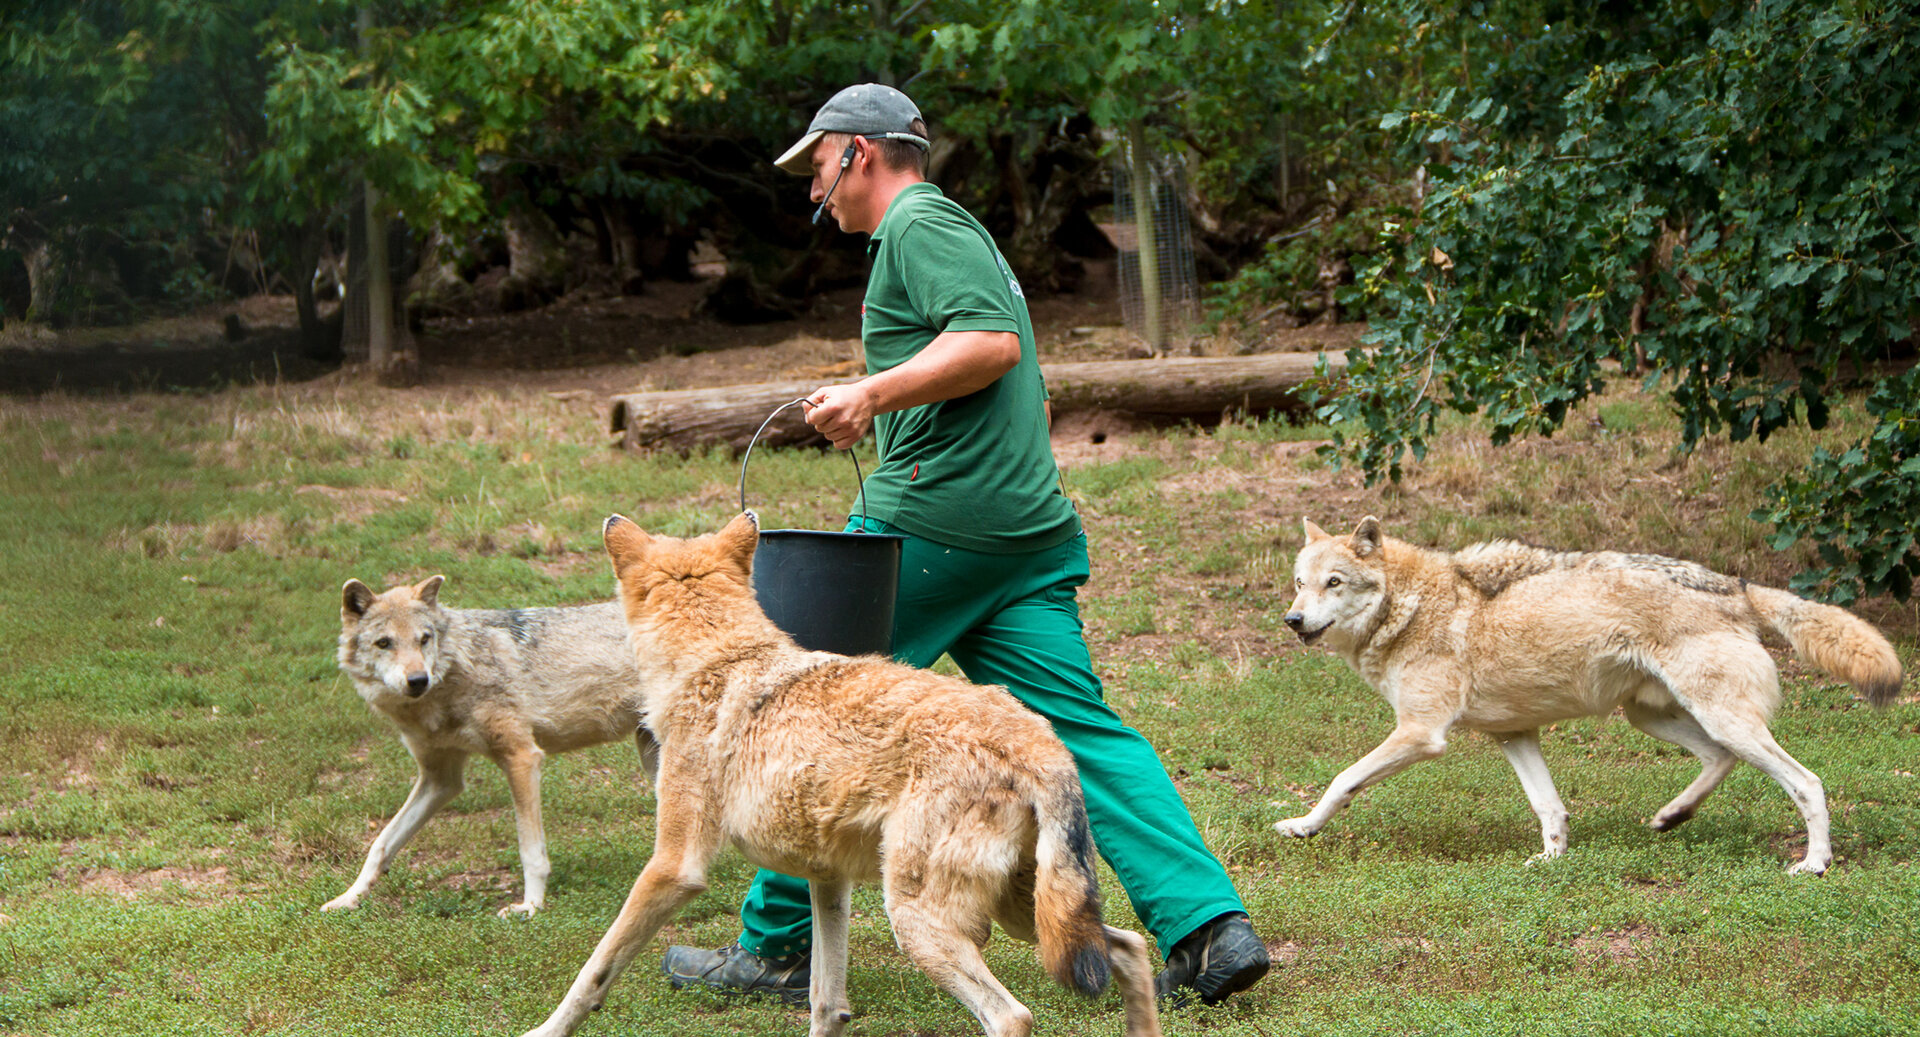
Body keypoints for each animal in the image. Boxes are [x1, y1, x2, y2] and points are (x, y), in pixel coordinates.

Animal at [332, 579, 660, 917]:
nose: (418, 679)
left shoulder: (522, 757)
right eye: (384, 643)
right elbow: (381, 843)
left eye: (424, 639)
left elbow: (531, 852)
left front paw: (531, 906)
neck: (454, 673)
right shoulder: (440, 780)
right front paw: (348, 897)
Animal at [514, 514, 1152, 1037]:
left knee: (1013, 1016)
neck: (719, 662)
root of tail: (1042, 744)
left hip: (922, 923)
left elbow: (592, 973)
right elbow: (826, 1002)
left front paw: (542, 1030)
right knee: (1130, 949)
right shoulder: (828, 881)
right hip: (1034, 918)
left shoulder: (674, 867)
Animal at [1274, 518, 1904, 875]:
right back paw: (1672, 815)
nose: (1293, 620)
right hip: (1651, 717)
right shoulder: (1514, 735)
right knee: (1718, 760)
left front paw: (1304, 826)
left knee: (1807, 783)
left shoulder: (1420, 735)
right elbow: (1550, 807)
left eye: (1334, 583)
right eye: (1300, 583)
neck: (1409, 608)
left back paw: (1815, 863)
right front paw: (1552, 860)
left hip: (1721, 721)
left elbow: (1342, 780)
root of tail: (1736, 585)